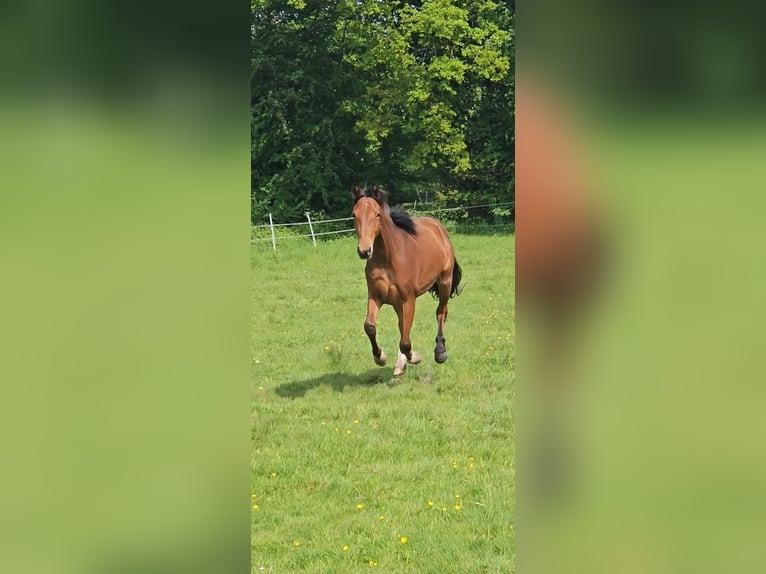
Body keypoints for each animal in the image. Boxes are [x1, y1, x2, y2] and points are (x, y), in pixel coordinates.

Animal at [351, 184, 462, 376]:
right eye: (354, 214)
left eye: (377, 214)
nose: (364, 251)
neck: (388, 258)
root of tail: (439, 227)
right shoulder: (376, 296)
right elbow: (370, 326)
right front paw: (380, 357)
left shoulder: (408, 299)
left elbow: (405, 341)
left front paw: (414, 357)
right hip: (397, 302)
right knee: (402, 325)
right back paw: (400, 364)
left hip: (444, 283)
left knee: (441, 312)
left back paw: (440, 353)